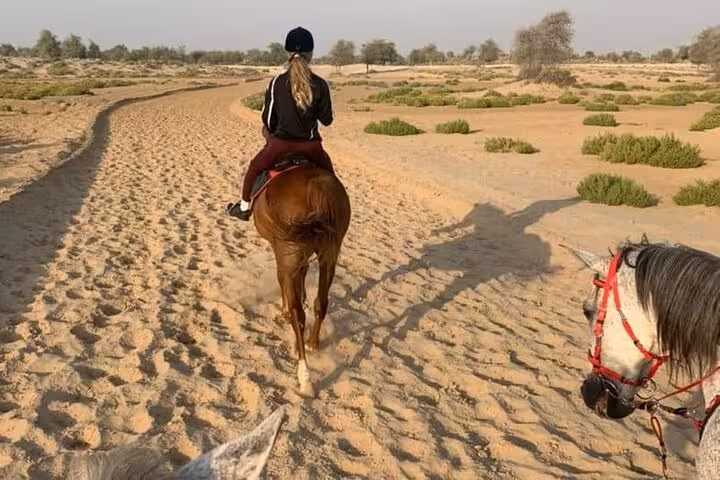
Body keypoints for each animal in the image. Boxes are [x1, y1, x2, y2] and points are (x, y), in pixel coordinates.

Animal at [251, 153, 351, 397]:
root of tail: (316, 188)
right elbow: (303, 277)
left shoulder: (282, 251)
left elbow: (283, 281)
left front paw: (284, 309)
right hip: (329, 253)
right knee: (321, 302)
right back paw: (312, 343)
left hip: (289, 250)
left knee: (299, 315)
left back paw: (304, 377)